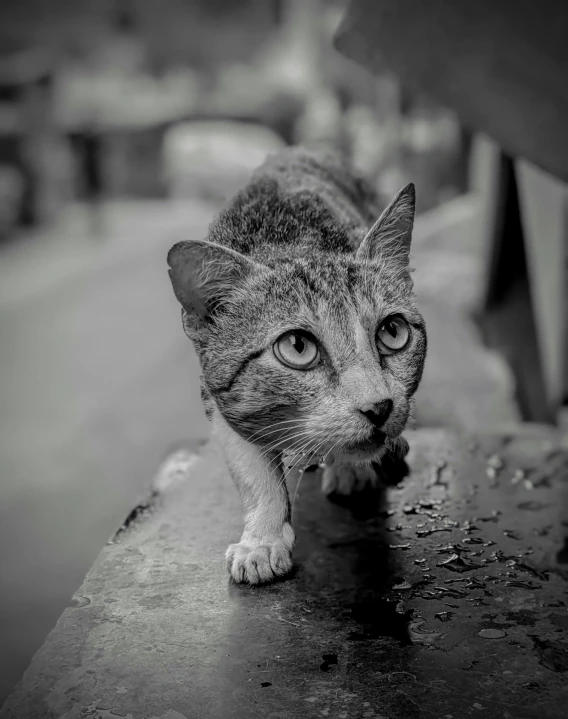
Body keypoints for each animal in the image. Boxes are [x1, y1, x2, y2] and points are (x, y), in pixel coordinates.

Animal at [168, 146, 426, 584]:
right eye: (298, 346)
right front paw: (262, 540)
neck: (290, 239)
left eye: (392, 332)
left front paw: (352, 468)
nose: (379, 407)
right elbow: (252, 468)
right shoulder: (217, 394)